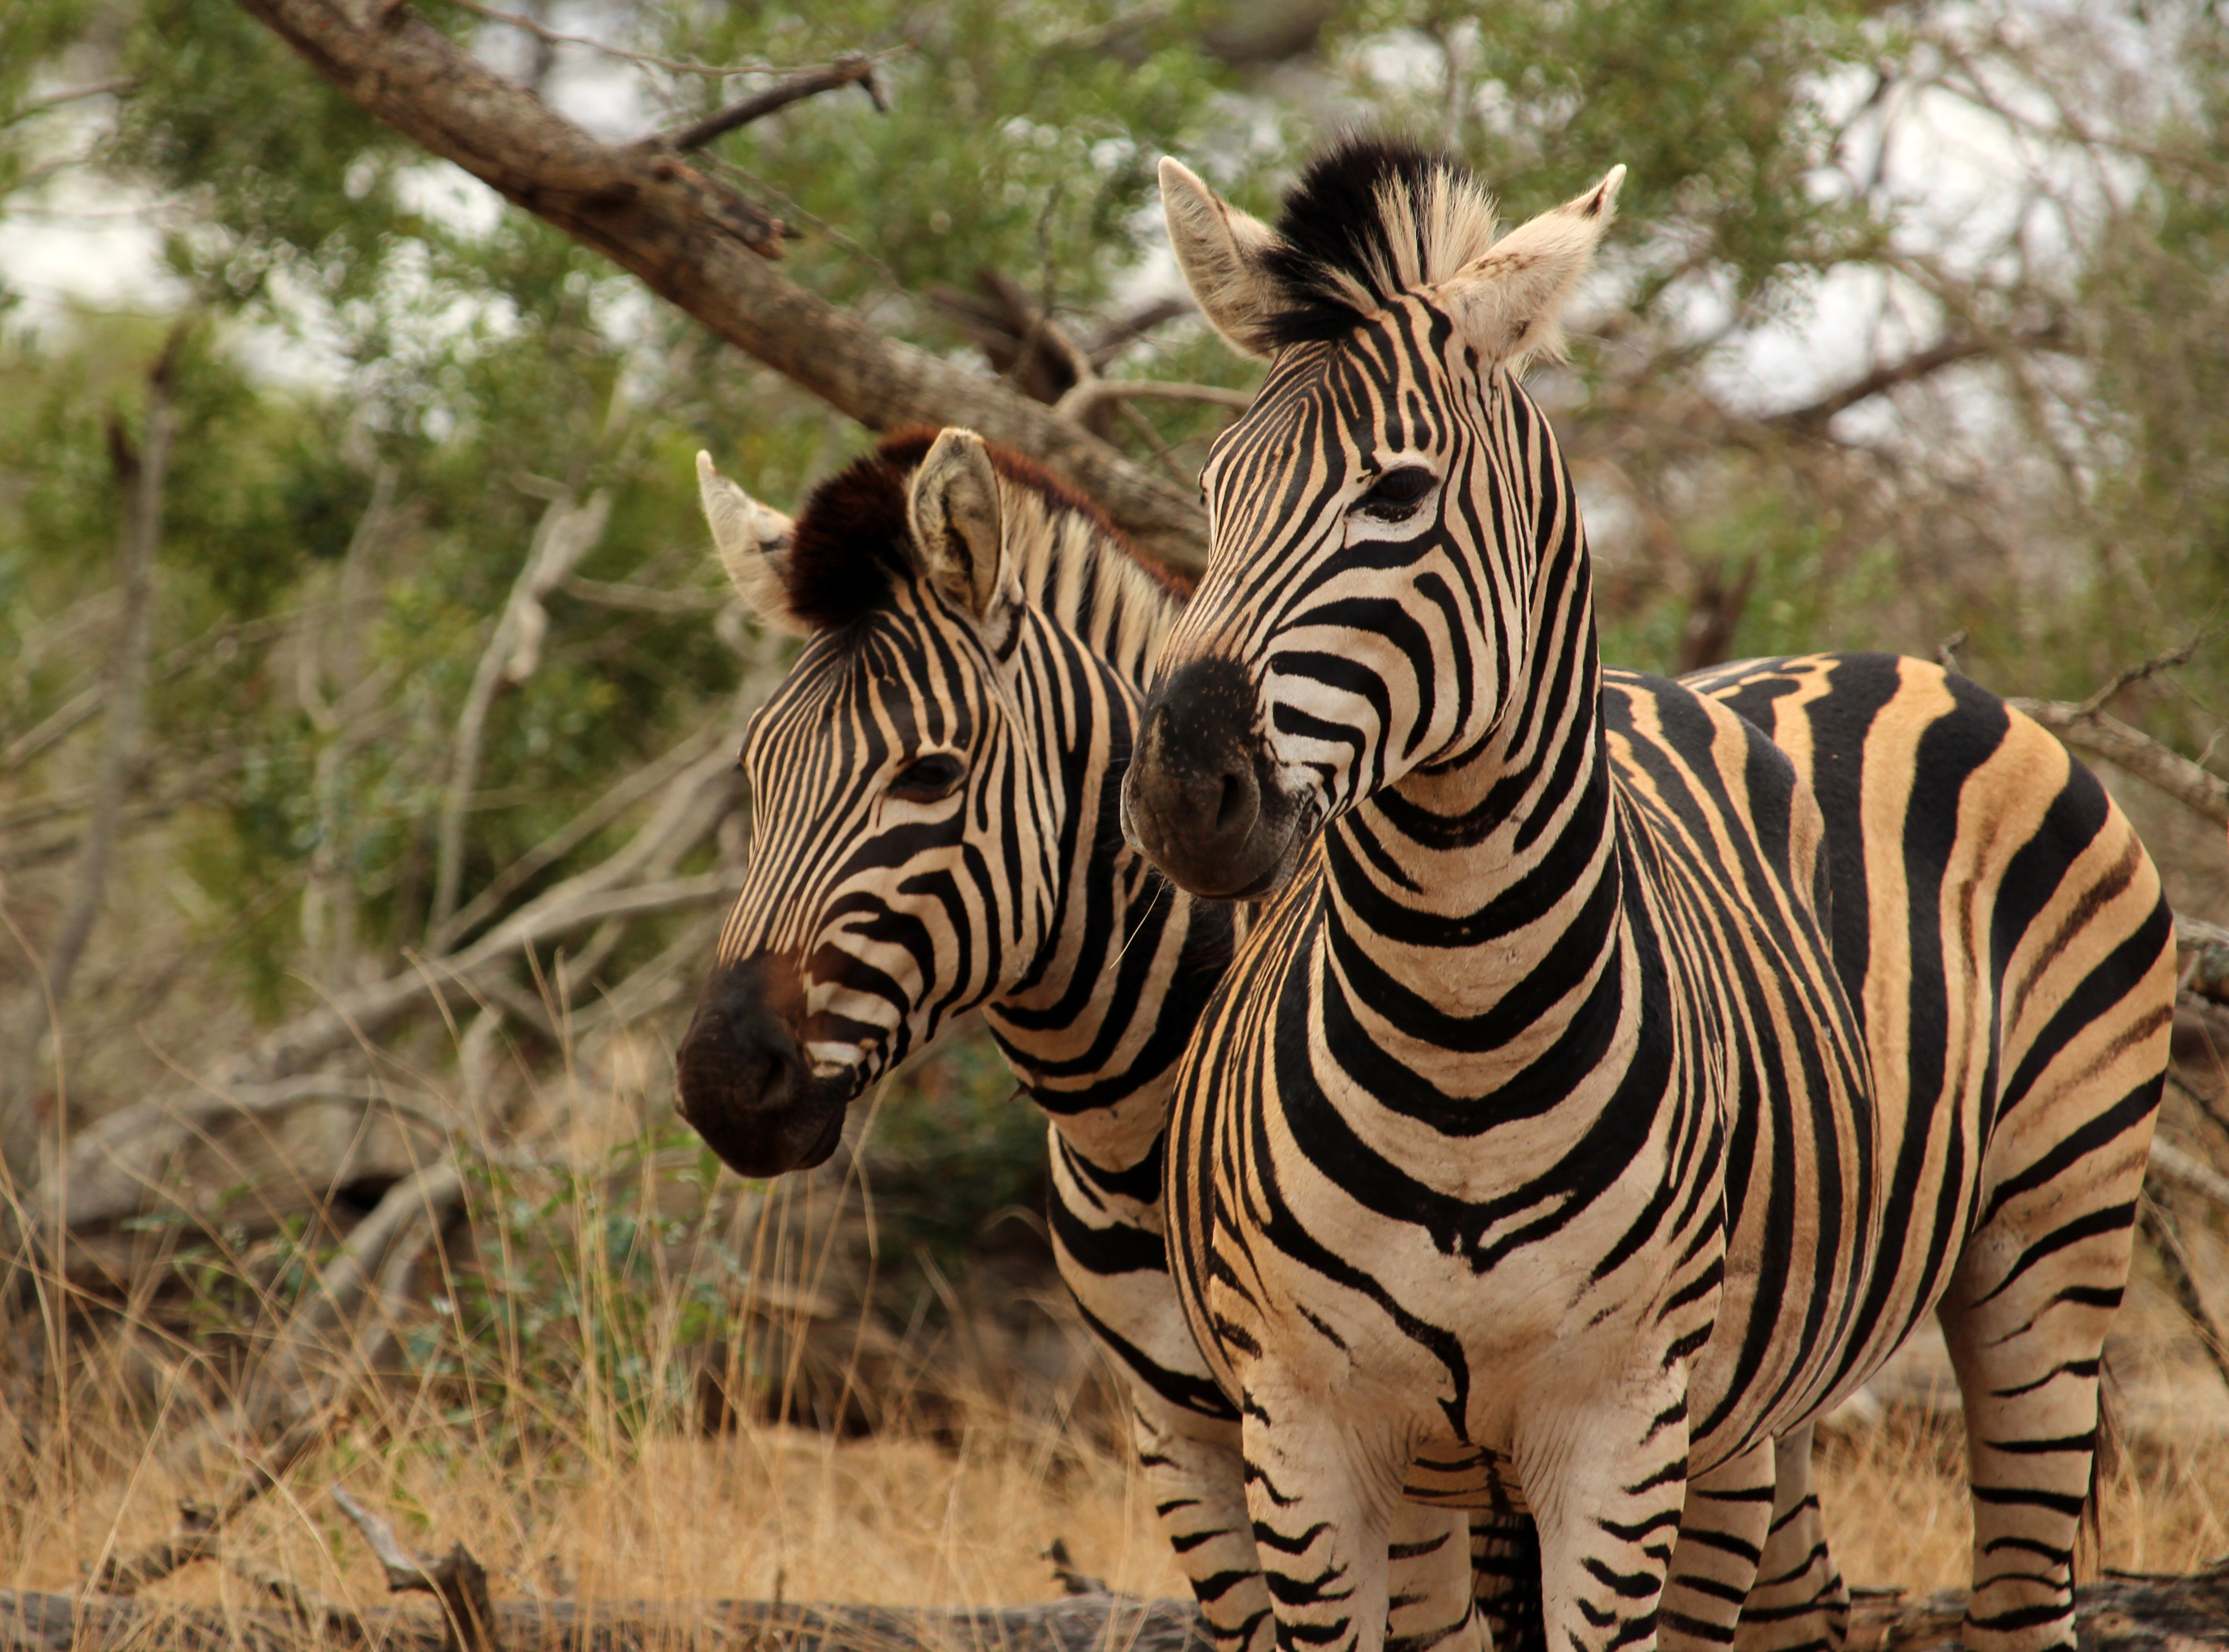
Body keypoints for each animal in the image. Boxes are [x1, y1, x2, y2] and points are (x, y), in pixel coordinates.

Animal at [1120, 137, 2175, 1652]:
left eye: (1397, 497)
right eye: (1215, 489)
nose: (1176, 789)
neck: (1456, 1026)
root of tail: (1891, 662)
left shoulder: (1614, 1432)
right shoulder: (1305, 1435)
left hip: (2053, 1247)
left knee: (2025, 1594)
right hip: (1755, 1394)